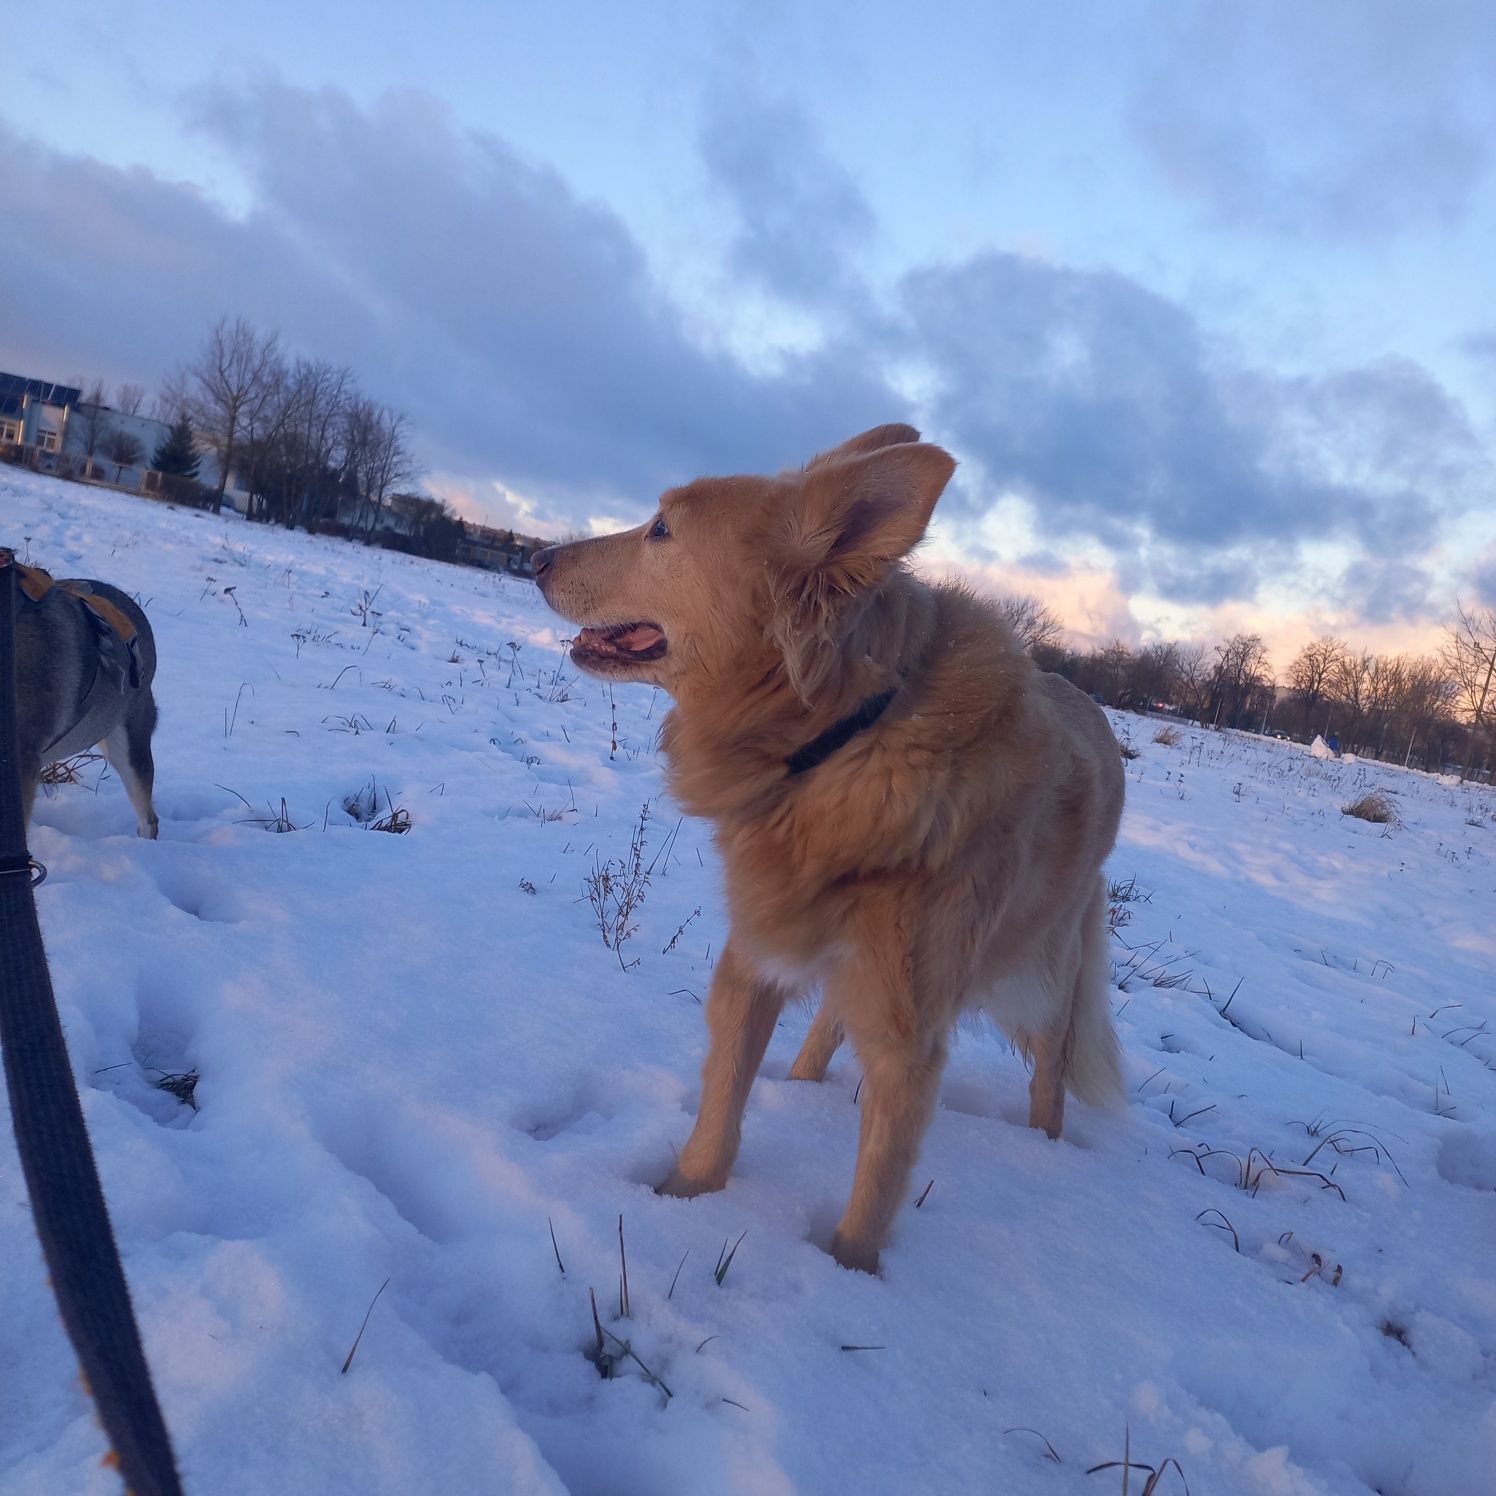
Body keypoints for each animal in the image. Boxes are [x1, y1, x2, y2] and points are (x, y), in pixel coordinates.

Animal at [538, 424, 1124, 1274]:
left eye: (662, 530)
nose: (535, 558)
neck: (841, 738)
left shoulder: (909, 1036)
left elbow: (876, 1186)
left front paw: (845, 1276)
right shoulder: (755, 953)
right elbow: (720, 1111)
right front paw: (680, 1204)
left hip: (1036, 964)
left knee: (1051, 1054)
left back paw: (1044, 1147)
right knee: (830, 1024)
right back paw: (802, 1081)